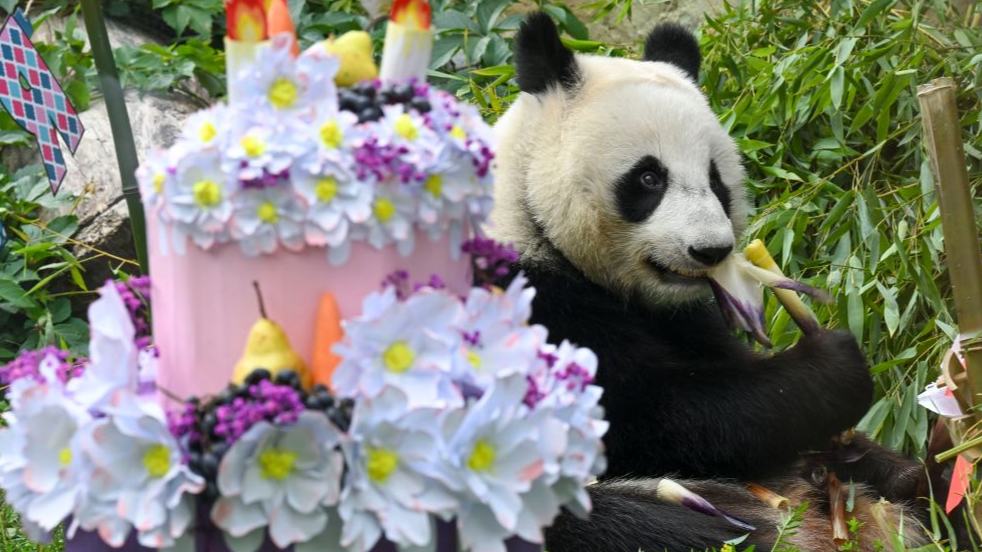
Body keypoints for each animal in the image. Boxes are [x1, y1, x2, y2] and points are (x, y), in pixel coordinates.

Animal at [489, 12, 933, 551]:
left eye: (715, 178)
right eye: (649, 178)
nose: (711, 251)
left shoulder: (684, 316)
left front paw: (861, 447)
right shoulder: (527, 303)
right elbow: (646, 414)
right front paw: (835, 368)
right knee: (637, 526)